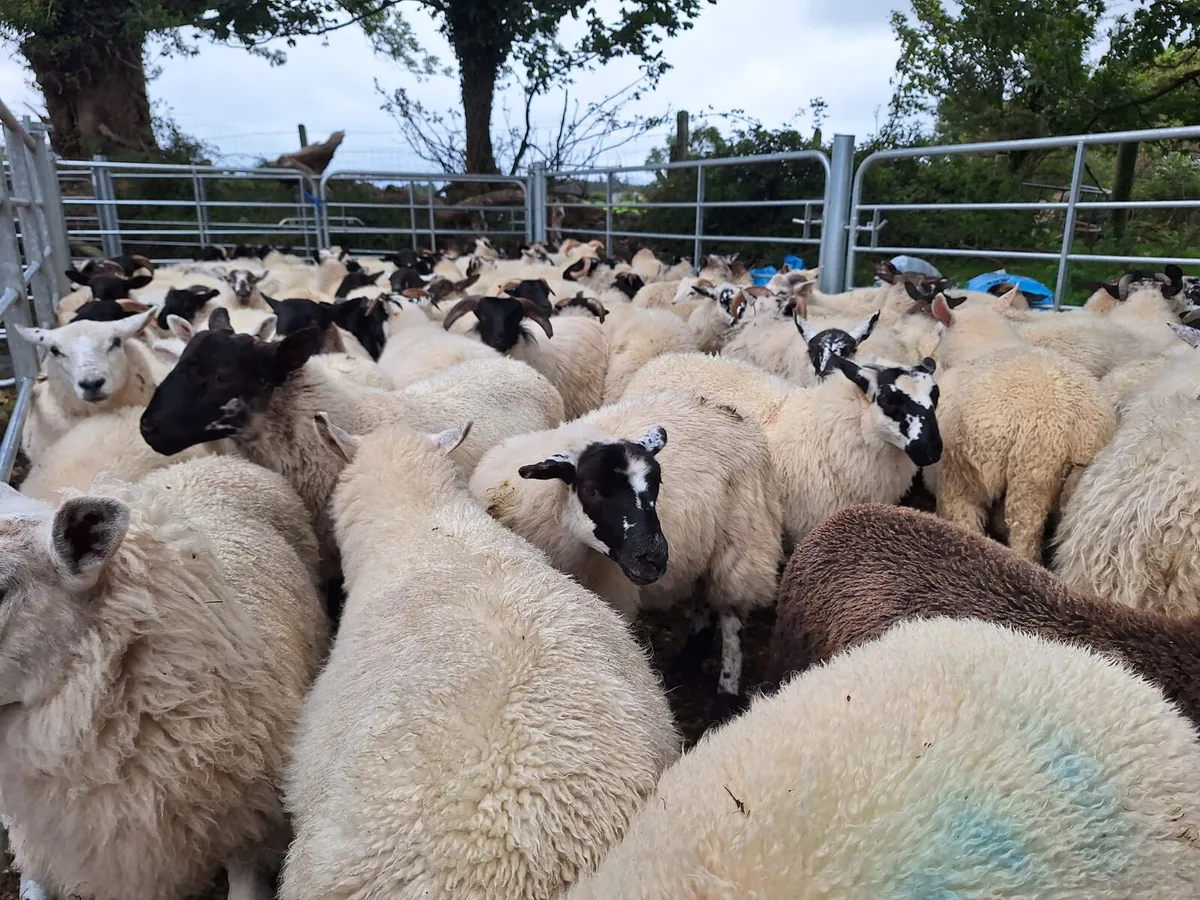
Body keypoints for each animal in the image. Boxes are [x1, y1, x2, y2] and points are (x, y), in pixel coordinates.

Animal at [469, 389, 783, 709]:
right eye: (591, 489)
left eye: (657, 484)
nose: (654, 559)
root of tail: (726, 409)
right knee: (703, 596)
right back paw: (690, 655)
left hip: (742, 544)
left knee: (732, 621)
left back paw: (726, 691)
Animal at [929, 290, 1116, 562]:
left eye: (938, 332)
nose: (928, 360)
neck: (985, 347)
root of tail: (1067, 423)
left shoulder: (958, 472)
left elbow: (963, 518)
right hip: (1074, 482)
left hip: (1030, 476)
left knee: (1024, 534)